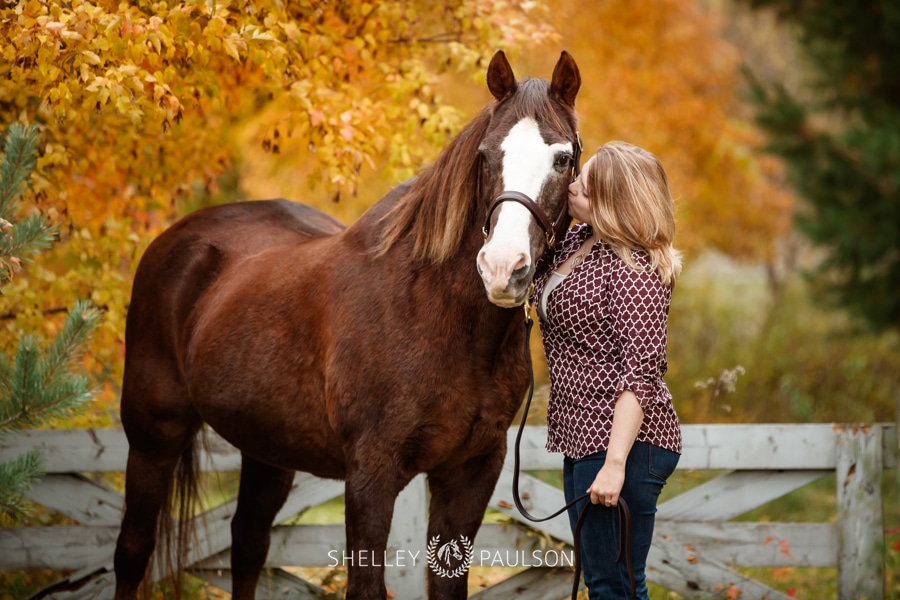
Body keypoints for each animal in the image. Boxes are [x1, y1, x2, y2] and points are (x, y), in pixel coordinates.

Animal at [112, 51, 584, 600]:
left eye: (563, 159)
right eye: (486, 156)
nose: (503, 268)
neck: (439, 315)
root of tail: (175, 240)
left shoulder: (471, 472)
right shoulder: (371, 474)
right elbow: (365, 585)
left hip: (267, 450)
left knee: (247, 544)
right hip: (152, 435)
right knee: (133, 551)